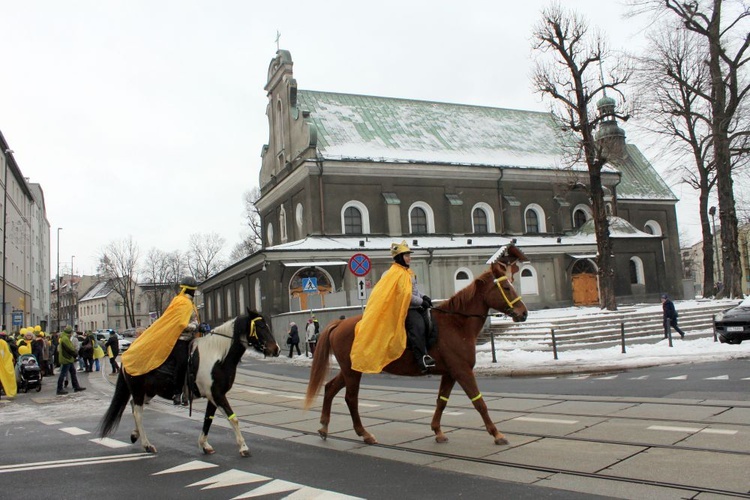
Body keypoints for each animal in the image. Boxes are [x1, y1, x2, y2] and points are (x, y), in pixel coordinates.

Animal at [98, 310, 278, 458]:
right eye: (260, 326)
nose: (276, 349)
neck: (218, 355)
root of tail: (127, 355)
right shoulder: (217, 395)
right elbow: (233, 419)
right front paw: (243, 447)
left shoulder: (213, 396)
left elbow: (208, 419)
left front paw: (205, 445)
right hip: (138, 390)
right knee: (138, 413)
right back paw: (147, 444)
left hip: (148, 392)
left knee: (133, 407)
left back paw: (135, 435)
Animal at [304, 250, 528, 446]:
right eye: (506, 287)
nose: (523, 313)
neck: (456, 323)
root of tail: (339, 324)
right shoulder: (462, 371)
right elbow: (479, 402)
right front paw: (497, 434)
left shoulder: (450, 373)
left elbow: (441, 401)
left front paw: (438, 431)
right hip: (352, 372)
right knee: (351, 398)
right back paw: (364, 434)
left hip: (350, 369)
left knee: (330, 388)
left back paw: (324, 427)